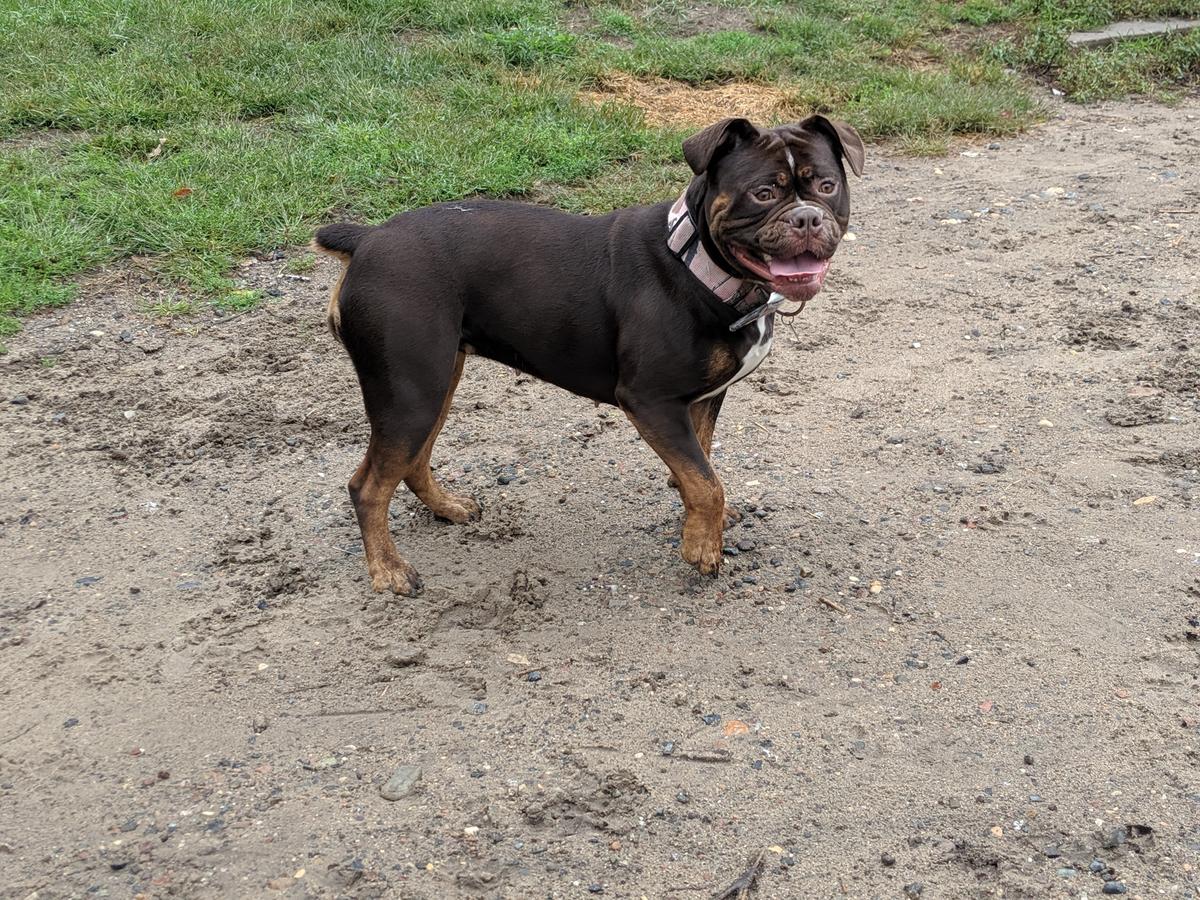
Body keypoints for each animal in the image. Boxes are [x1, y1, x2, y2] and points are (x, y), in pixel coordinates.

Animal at [314, 116, 864, 595]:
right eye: (763, 193)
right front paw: (701, 548)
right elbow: (707, 483)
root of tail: (367, 239)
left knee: (412, 462)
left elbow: (700, 467)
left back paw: (448, 508)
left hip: (436, 381)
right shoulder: (650, 401)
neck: (698, 265)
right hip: (410, 392)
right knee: (368, 487)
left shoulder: (703, 400)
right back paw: (388, 571)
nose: (808, 217)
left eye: (827, 186)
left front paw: (698, 524)